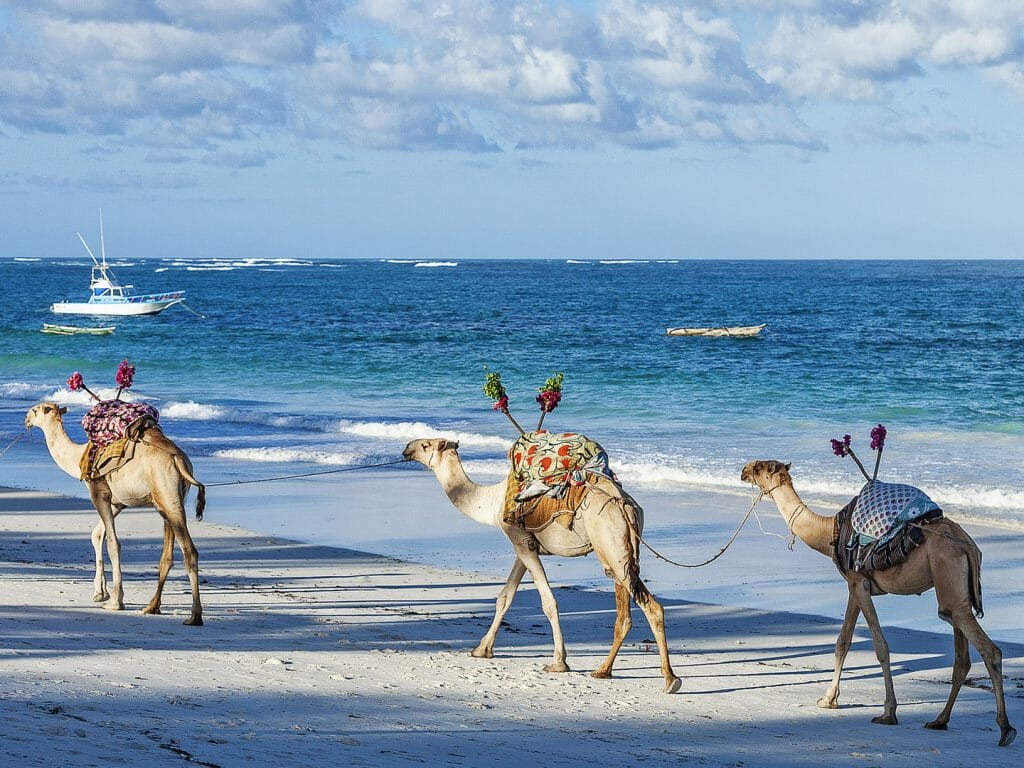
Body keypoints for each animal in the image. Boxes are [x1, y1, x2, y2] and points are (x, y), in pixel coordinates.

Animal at [25, 402, 205, 625]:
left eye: (36, 410)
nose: (26, 418)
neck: (79, 456)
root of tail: (179, 459)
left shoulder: (99, 492)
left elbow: (113, 543)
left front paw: (114, 601)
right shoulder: (118, 502)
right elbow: (97, 534)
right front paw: (100, 592)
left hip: (166, 492)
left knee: (189, 550)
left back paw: (194, 616)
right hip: (170, 499)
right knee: (168, 554)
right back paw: (152, 607)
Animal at [403, 437, 680, 693]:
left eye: (426, 445)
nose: (406, 448)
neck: (492, 501)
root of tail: (626, 505)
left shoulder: (521, 542)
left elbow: (548, 601)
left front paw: (559, 662)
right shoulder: (524, 545)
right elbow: (505, 597)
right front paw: (482, 649)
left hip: (610, 541)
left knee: (650, 606)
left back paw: (669, 680)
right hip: (621, 551)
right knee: (626, 611)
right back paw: (603, 671)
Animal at [740, 459, 1015, 746]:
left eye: (760, 468)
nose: (743, 470)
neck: (829, 532)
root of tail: (968, 545)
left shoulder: (858, 584)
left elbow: (880, 646)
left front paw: (887, 712)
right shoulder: (854, 585)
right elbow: (843, 642)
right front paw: (829, 699)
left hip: (948, 576)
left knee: (989, 650)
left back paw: (1005, 729)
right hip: (954, 592)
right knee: (960, 654)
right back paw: (939, 720)